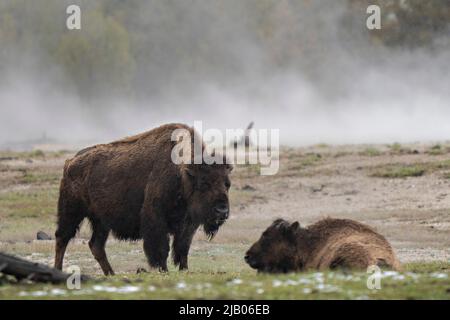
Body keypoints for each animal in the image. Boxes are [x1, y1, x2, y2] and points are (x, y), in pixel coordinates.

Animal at [53, 123, 232, 276]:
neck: (183, 174)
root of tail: (70, 162)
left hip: (101, 221)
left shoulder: (188, 225)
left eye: (227, 184)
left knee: (96, 245)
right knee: (62, 238)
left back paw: (111, 274)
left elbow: (182, 248)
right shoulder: (156, 219)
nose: (222, 210)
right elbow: (162, 249)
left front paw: (184, 270)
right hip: (72, 212)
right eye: (204, 183)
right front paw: (164, 271)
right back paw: (58, 269)